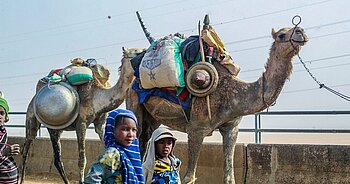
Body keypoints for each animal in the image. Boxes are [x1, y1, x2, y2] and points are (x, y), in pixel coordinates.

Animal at [19, 52, 135, 183]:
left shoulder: (100, 124)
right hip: (33, 119)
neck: (98, 95)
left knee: (56, 158)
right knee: (28, 148)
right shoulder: (81, 124)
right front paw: (81, 180)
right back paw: (22, 180)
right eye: (136, 52)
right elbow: (82, 160)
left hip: (57, 129)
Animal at [124, 14, 308, 183]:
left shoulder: (232, 128)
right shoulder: (196, 128)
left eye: (296, 29)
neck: (234, 94)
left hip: (153, 117)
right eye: (281, 35)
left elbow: (229, 176)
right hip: (133, 101)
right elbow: (189, 177)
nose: (301, 31)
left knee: (145, 139)